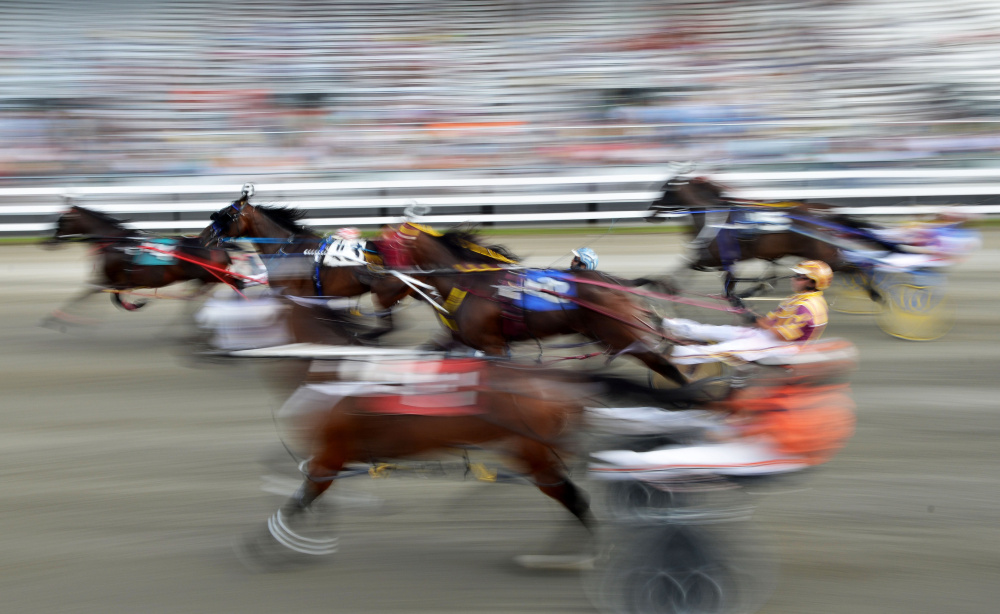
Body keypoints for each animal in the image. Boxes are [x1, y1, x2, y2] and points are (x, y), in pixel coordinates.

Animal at [39, 205, 244, 328]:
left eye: (62, 220)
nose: (50, 242)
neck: (116, 242)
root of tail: (218, 245)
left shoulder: (115, 280)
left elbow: (100, 295)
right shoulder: (112, 280)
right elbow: (104, 295)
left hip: (212, 275)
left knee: (232, 286)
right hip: (204, 278)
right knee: (199, 295)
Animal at [201, 185, 412, 344]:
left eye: (225, 214)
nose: (204, 236)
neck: (287, 249)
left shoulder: (292, 294)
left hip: (383, 293)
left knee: (387, 325)